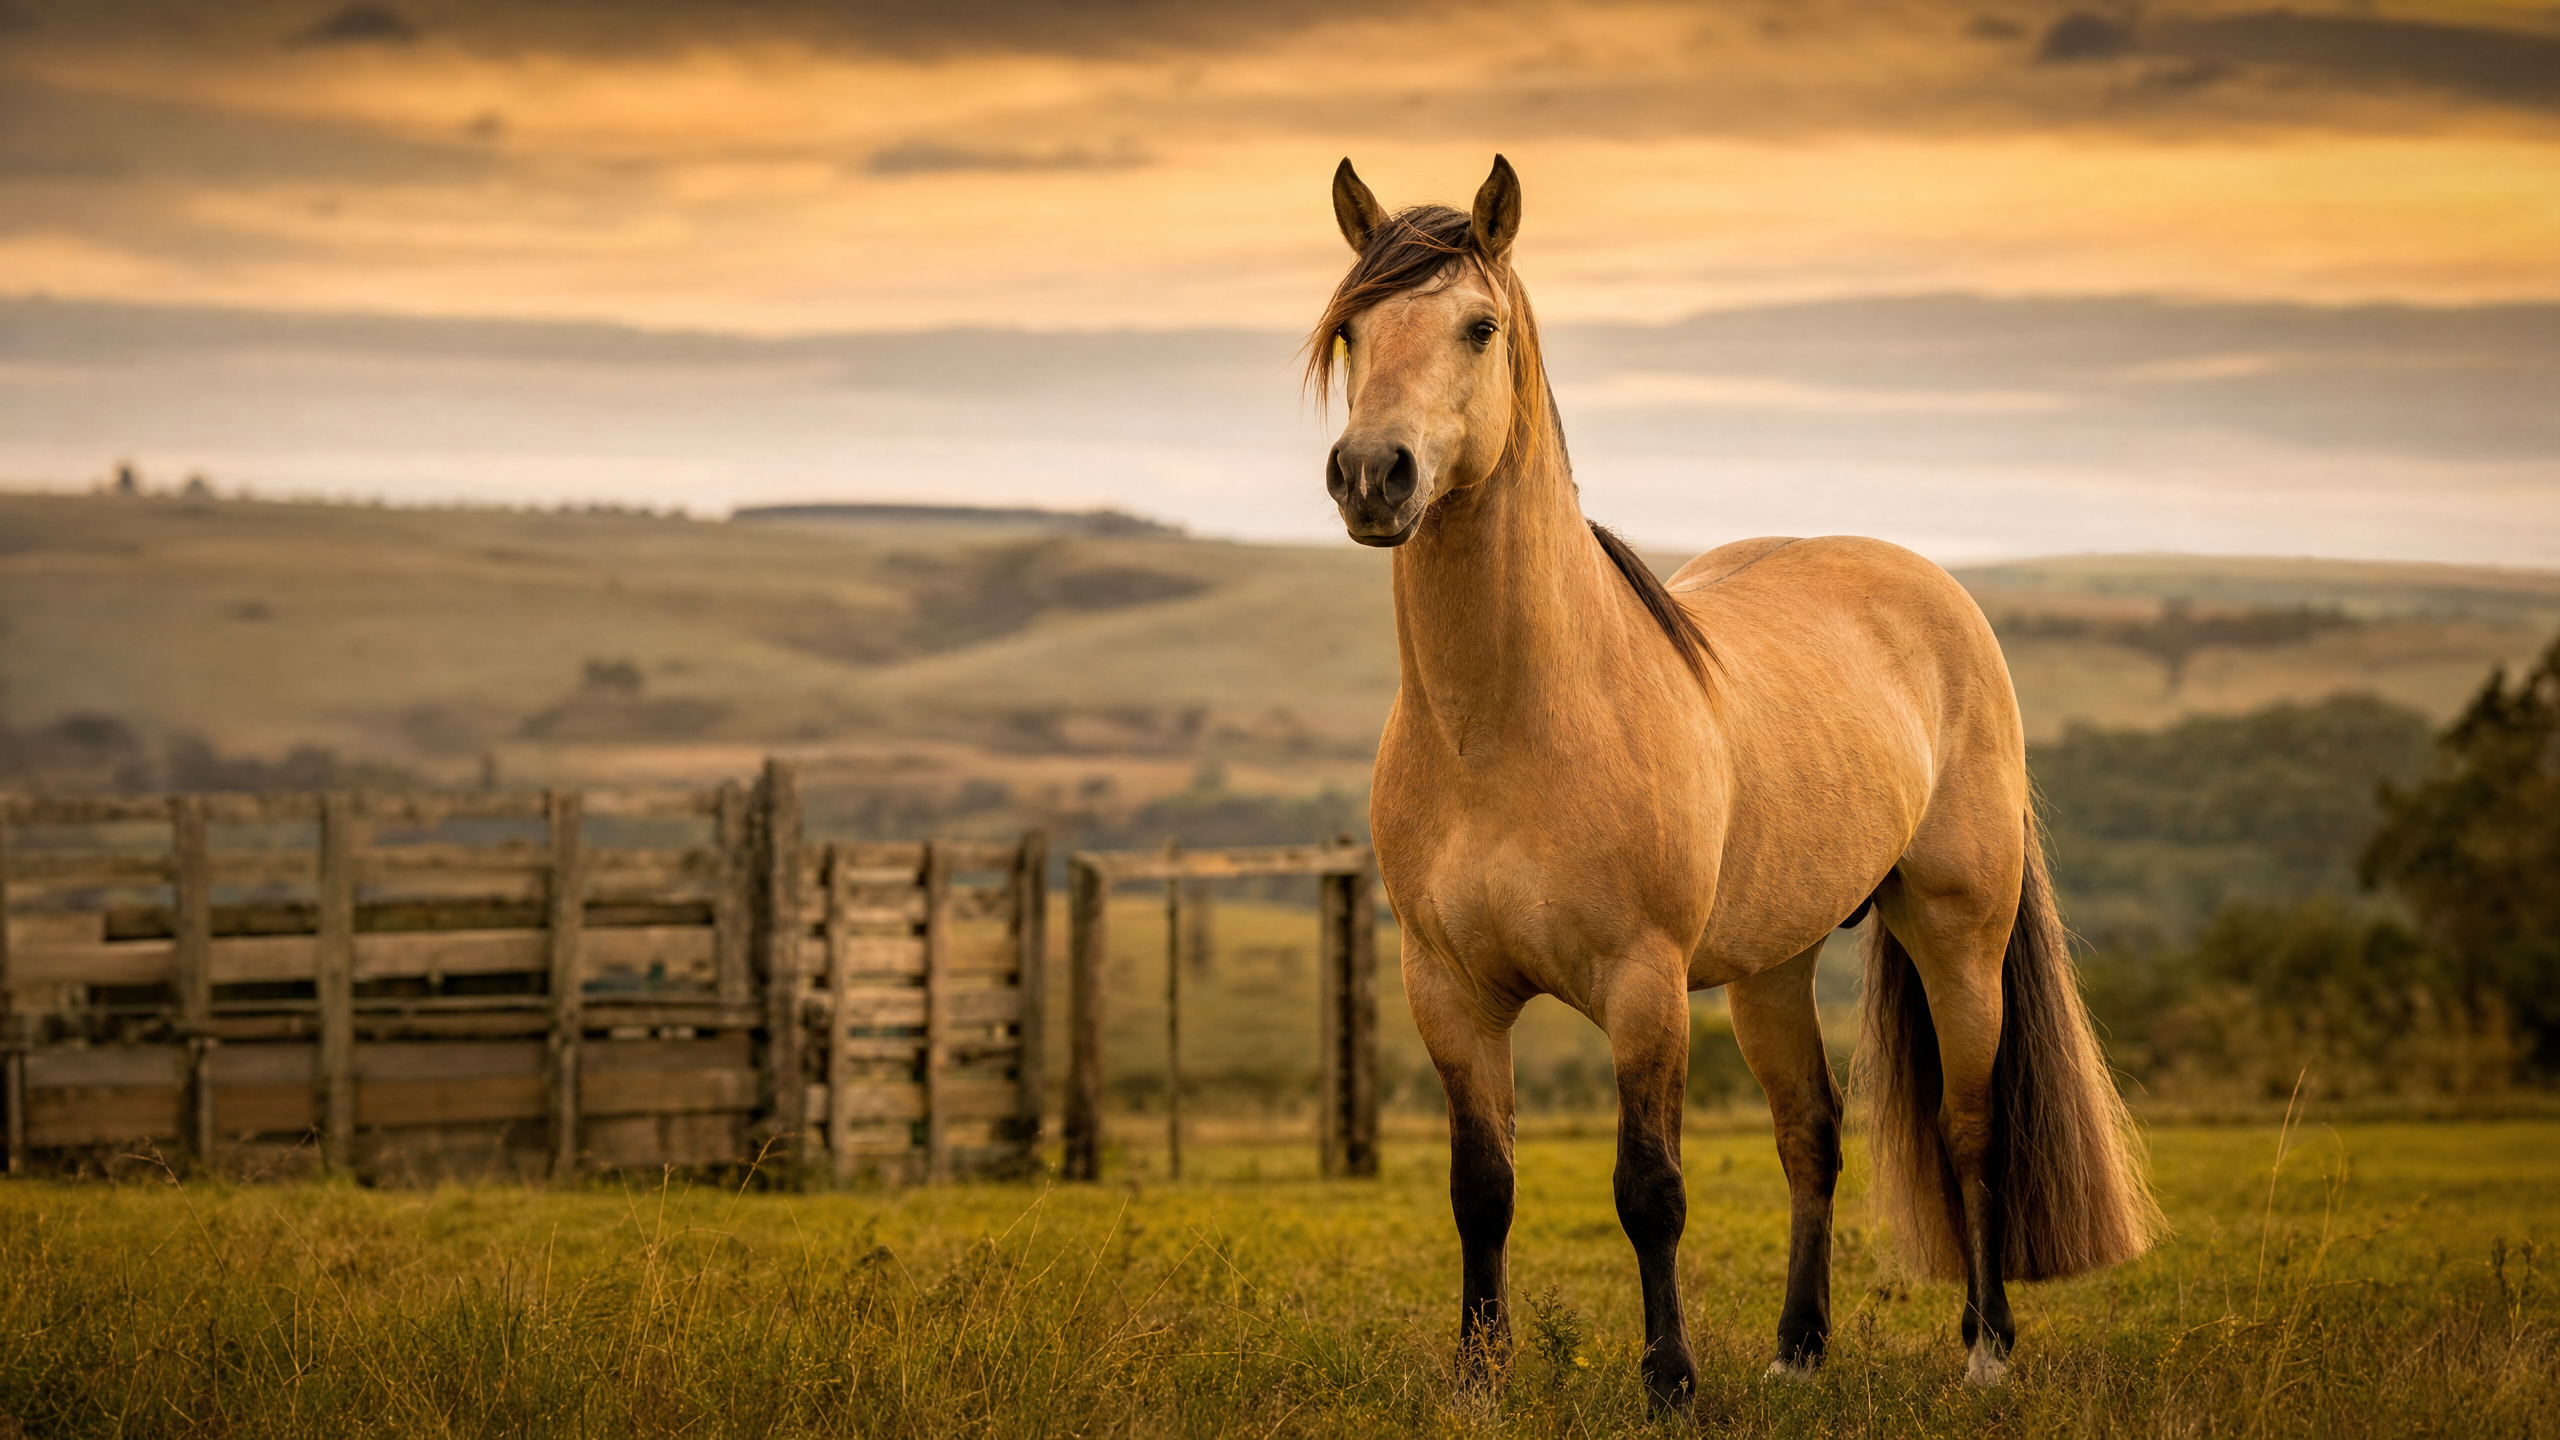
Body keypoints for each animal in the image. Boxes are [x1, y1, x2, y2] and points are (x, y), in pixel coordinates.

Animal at [1310, 155, 2161, 1411]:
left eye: (1478, 326)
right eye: (1352, 328)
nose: (1375, 475)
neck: (1506, 729)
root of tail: (1935, 592)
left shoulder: (1644, 987)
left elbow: (1648, 1188)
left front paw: (1668, 1380)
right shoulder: (1448, 993)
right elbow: (1482, 1189)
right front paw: (1479, 1381)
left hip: (1956, 937)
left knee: (1967, 1130)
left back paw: (1985, 1350)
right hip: (1772, 968)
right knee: (1809, 1133)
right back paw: (1797, 1349)